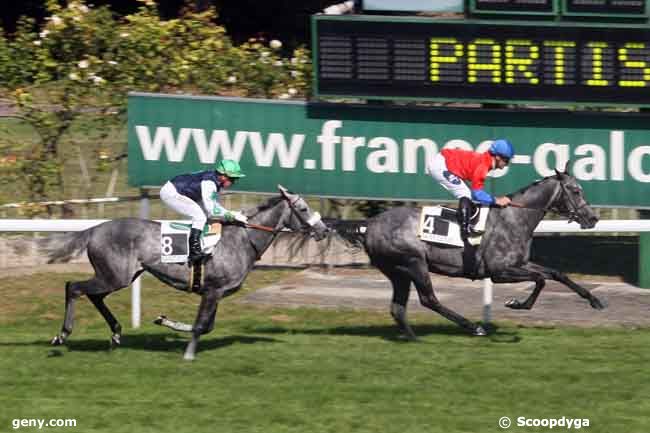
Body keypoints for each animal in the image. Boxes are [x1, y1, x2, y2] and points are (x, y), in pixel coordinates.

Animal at [46, 186, 330, 358]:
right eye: (302, 209)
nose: (324, 230)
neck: (242, 239)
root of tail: (94, 229)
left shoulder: (216, 292)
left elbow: (206, 326)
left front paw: (164, 321)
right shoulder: (213, 290)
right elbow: (201, 325)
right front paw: (188, 354)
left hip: (119, 276)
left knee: (94, 296)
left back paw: (116, 334)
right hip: (115, 276)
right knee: (74, 287)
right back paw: (62, 335)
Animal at [332, 168, 604, 338]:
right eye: (576, 191)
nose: (593, 218)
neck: (515, 218)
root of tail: (369, 224)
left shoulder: (520, 263)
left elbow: (556, 274)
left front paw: (595, 300)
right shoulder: (499, 272)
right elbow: (540, 279)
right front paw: (517, 304)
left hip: (398, 272)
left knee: (398, 308)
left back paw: (412, 337)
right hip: (413, 262)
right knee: (429, 299)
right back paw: (474, 327)